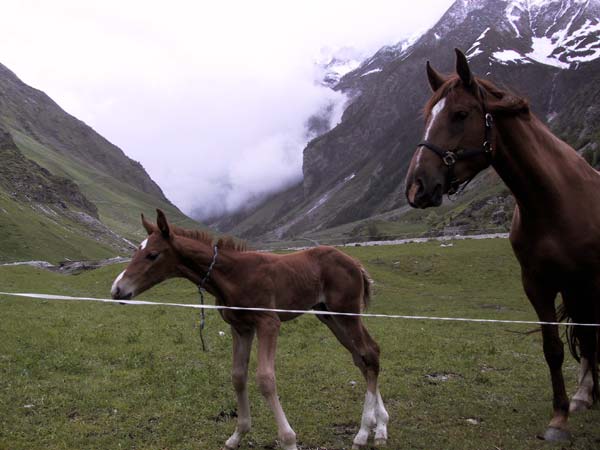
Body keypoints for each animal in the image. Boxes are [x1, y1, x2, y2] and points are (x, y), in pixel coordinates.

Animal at [110, 211, 390, 450]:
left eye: (152, 255)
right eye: (136, 251)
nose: (117, 290)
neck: (235, 275)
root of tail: (355, 262)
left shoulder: (268, 323)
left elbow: (265, 378)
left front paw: (288, 440)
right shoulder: (241, 328)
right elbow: (238, 376)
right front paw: (237, 435)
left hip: (346, 313)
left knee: (369, 354)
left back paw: (363, 432)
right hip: (328, 316)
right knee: (364, 356)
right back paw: (380, 427)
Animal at [406, 48, 596, 440]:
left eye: (460, 114)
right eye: (427, 116)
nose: (416, 187)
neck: (553, 201)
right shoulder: (537, 284)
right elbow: (553, 348)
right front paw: (559, 416)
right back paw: (586, 394)